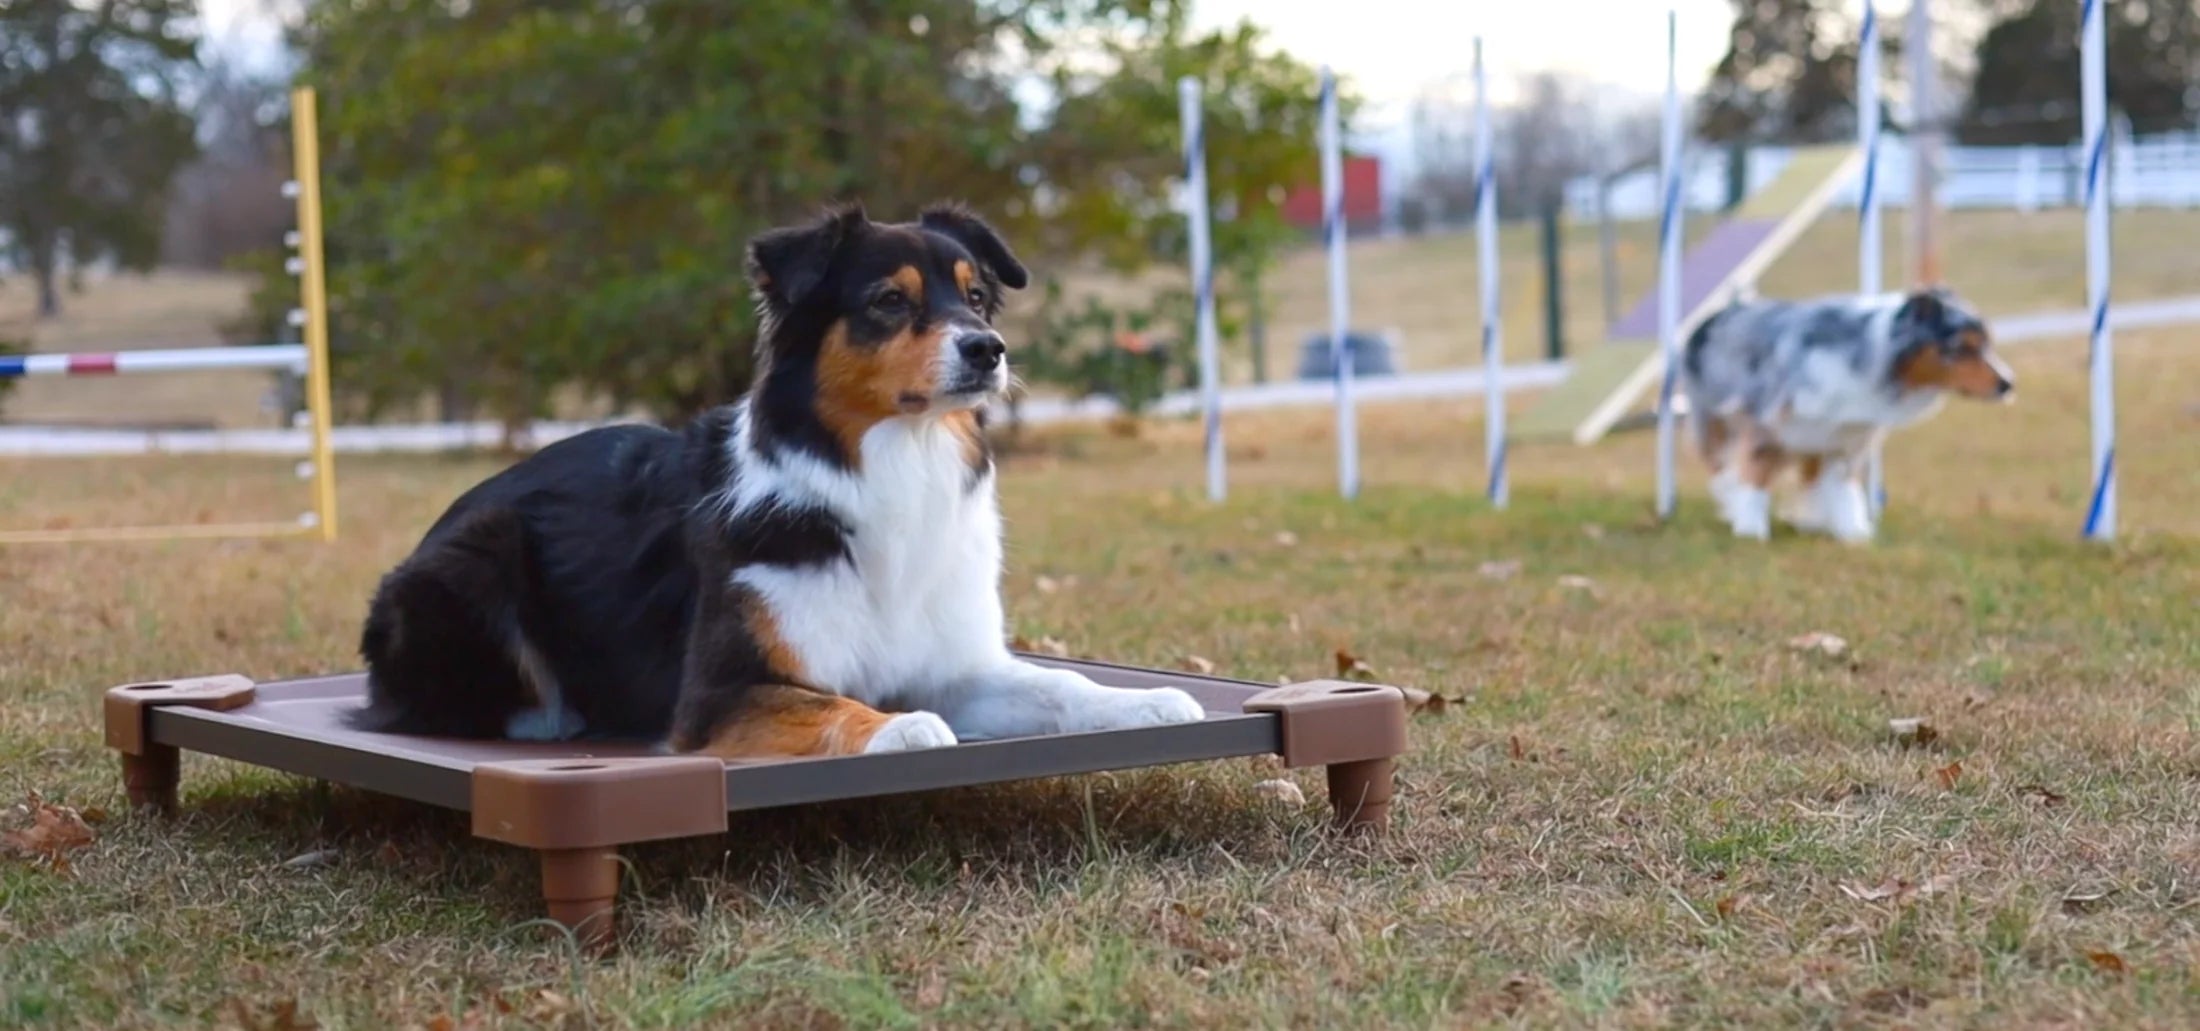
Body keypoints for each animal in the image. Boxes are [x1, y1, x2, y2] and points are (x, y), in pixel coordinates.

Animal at [347, 204, 1205, 760]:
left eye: (975, 296)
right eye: (888, 300)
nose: (987, 349)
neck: (893, 464)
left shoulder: (956, 667)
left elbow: (1061, 685)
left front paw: (1148, 700)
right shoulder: (718, 694)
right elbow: (827, 703)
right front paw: (899, 726)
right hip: (476, 554)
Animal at [1680, 285, 2015, 542]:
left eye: (1987, 345)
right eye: (1963, 347)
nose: (2008, 383)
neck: (1875, 359)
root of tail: (1720, 312)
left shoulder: (1846, 437)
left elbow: (1844, 489)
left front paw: (1853, 533)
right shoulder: (1769, 424)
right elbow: (1757, 475)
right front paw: (1751, 529)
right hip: (1715, 421)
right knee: (1721, 468)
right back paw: (1732, 503)